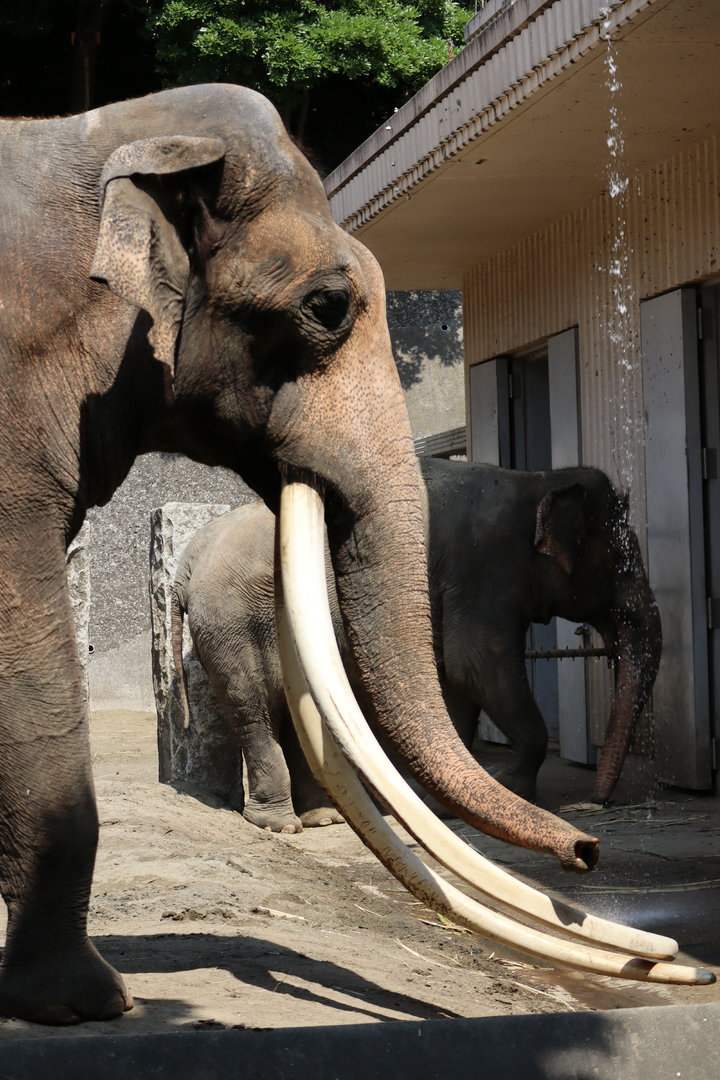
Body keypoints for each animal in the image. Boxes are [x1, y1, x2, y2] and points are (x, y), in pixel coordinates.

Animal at [172, 456, 661, 830]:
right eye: (621, 562)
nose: (597, 802)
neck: (536, 480)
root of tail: (191, 556)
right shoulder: (485, 569)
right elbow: (478, 664)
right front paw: (510, 788)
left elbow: (453, 684)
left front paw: (451, 801)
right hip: (231, 624)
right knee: (254, 710)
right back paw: (279, 823)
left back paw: (323, 818)